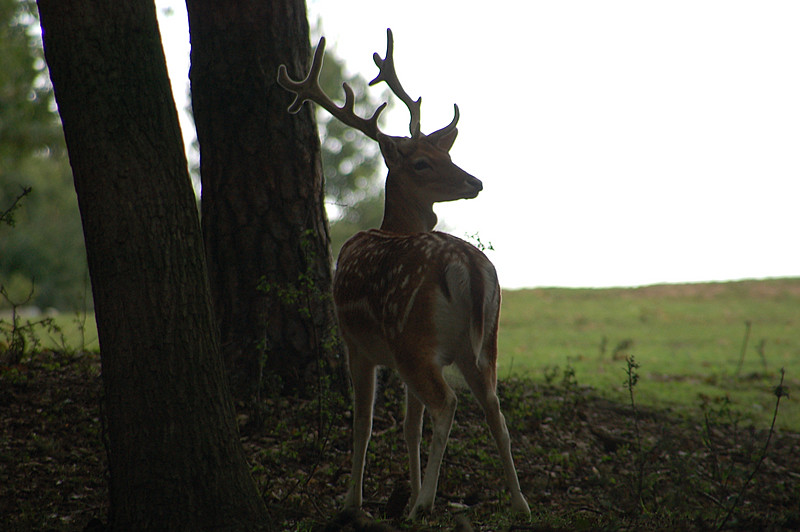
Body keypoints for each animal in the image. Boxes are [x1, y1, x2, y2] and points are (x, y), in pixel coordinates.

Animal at [276, 28, 532, 520]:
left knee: (447, 403)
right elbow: (410, 427)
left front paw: (354, 504)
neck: (392, 227)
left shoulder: (358, 344)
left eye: (443, 153)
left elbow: (364, 422)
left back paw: (426, 505)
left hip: (410, 335)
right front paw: (405, 493)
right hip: (478, 343)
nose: (474, 182)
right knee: (494, 410)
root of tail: (469, 271)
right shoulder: (399, 356)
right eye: (422, 161)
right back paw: (519, 505)